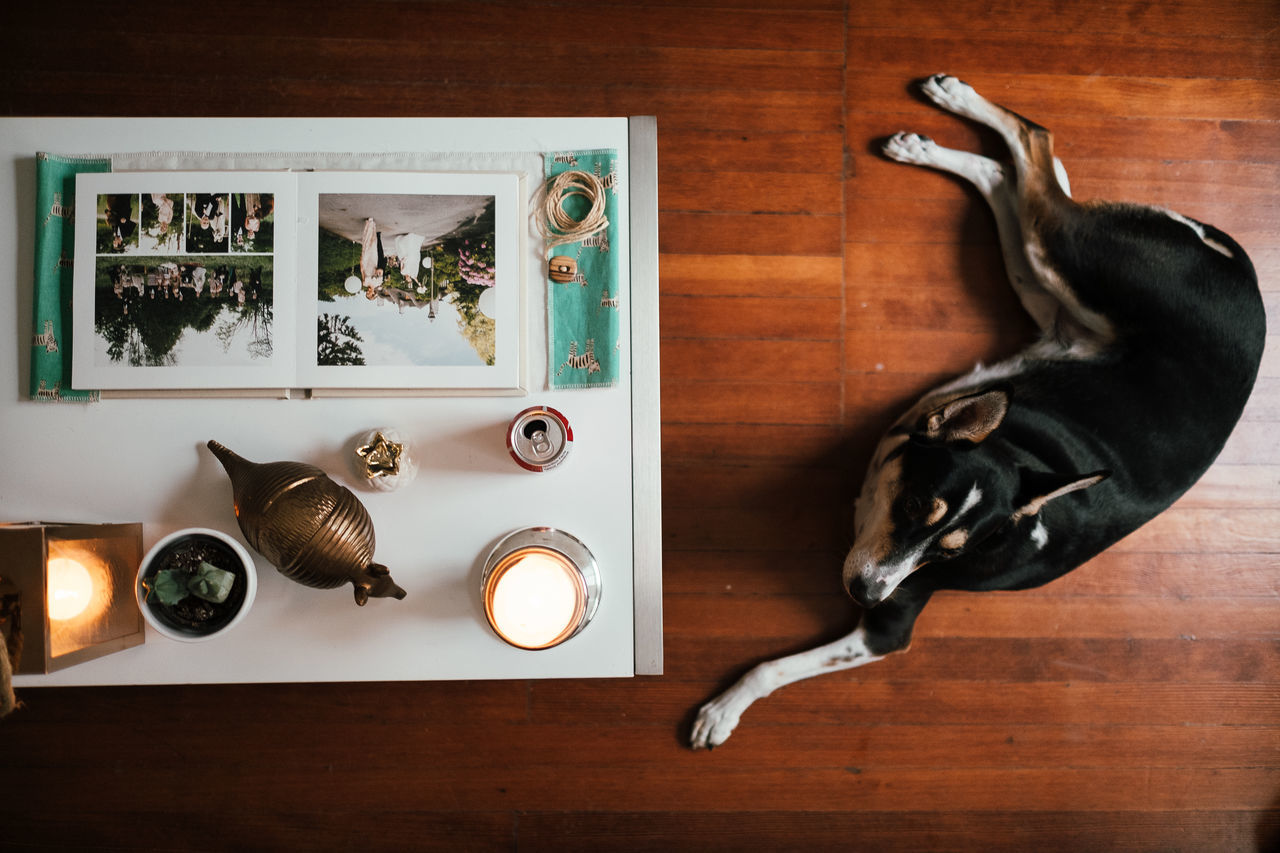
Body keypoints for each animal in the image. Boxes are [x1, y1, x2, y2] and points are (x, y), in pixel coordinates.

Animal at [686, 76, 1264, 747]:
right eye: (915, 507)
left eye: (951, 555)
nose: (864, 592)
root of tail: (1243, 267)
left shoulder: (886, 630)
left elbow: (773, 667)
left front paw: (725, 709)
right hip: (1054, 283)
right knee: (1022, 166)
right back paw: (938, 124)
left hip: (1061, 275)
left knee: (1032, 161)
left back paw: (947, 117)